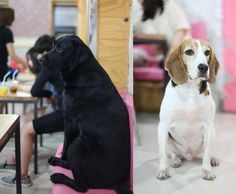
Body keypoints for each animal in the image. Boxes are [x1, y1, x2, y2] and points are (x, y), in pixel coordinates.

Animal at [40, 35, 133, 194]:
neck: (81, 71)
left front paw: (62, 160)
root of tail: (119, 183)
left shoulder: (69, 121)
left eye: (60, 48)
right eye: (52, 46)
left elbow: (66, 144)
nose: (40, 59)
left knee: (82, 186)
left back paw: (58, 175)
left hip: (78, 145)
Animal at [158, 38, 220, 181]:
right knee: (173, 154)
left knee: (207, 152)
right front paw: (163, 170)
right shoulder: (163, 125)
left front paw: (207, 170)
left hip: (212, 133)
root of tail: (189, 155)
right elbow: (162, 154)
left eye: (207, 52)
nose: (204, 67)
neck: (190, 89)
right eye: (189, 52)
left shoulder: (208, 125)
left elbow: (206, 154)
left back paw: (213, 158)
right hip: (168, 137)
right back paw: (175, 160)